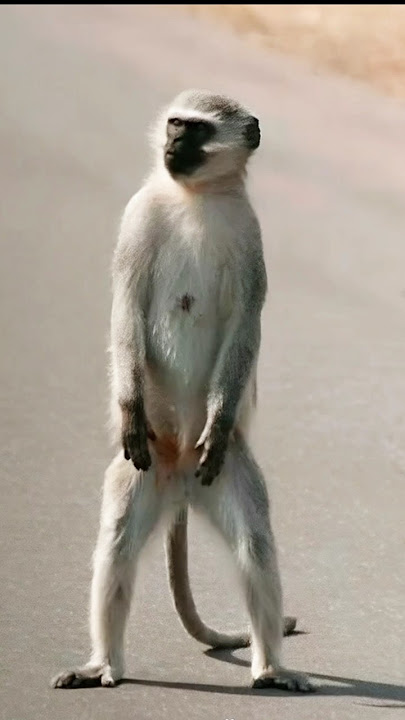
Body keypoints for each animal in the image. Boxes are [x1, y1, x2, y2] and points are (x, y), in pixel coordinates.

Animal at [51, 89, 313, 693]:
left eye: (195, 131)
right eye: (175, 124)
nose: (171, 145)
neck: (196, 198)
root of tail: (180, 481)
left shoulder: (250, 235)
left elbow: (245, 324)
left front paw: (218, 420)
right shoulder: (137, 215)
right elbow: (126, 308)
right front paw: (128, 410)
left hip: (224, 469)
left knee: (255, 547)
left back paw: (270, 668)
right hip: (143, 469)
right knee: (117, 545)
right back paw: (104, 664)